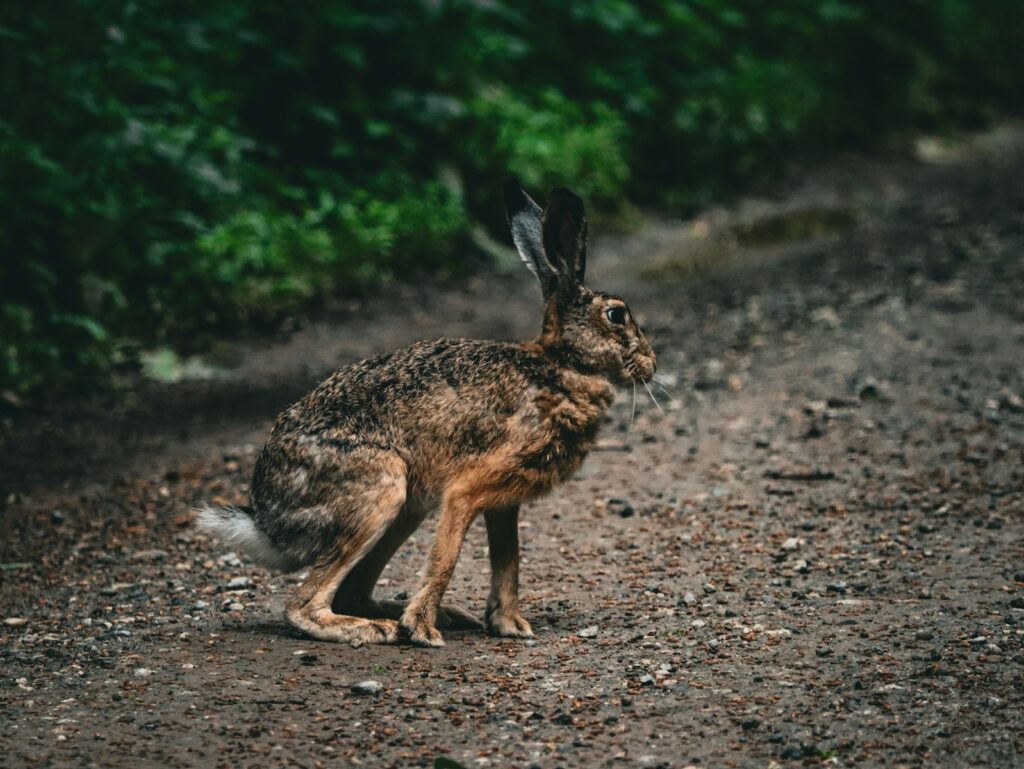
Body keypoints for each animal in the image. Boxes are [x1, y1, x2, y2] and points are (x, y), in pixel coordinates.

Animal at [197, 178, 656, 647]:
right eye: (616, 315)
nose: (651, 364)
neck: (562, 366)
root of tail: (268, 518)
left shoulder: (504, 501)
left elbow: (508, 563)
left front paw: (509, 625)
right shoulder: (468, 490)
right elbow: (447, 558)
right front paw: (422, 629)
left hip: (405, 508)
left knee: (353, 591)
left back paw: (428, 617)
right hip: (379, 491)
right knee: (302, 605)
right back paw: (378, 629)